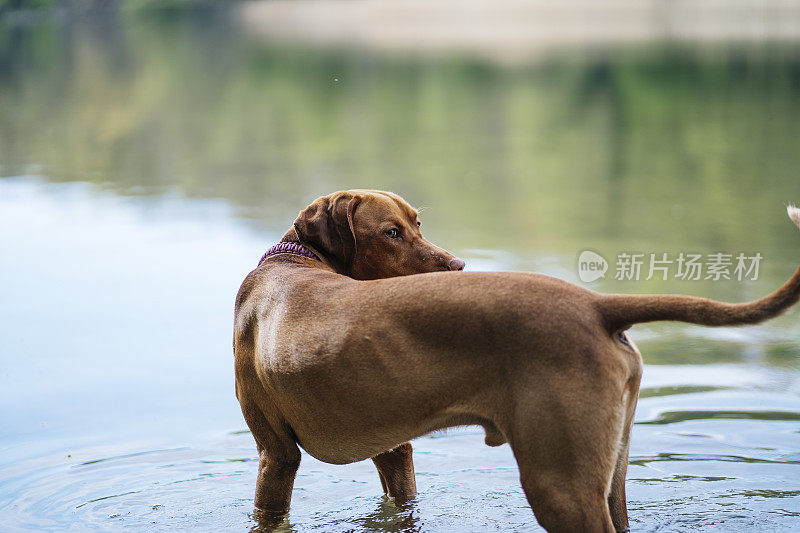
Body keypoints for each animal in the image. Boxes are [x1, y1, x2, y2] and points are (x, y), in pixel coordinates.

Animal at [233, 192, 800, 532]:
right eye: (392, 232)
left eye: (416, 224)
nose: (459, 265)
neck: (297, 259)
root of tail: (595, 305)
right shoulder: (395, 450)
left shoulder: (276, 453)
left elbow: (268, 510)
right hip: (608, 470)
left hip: (558, 481)